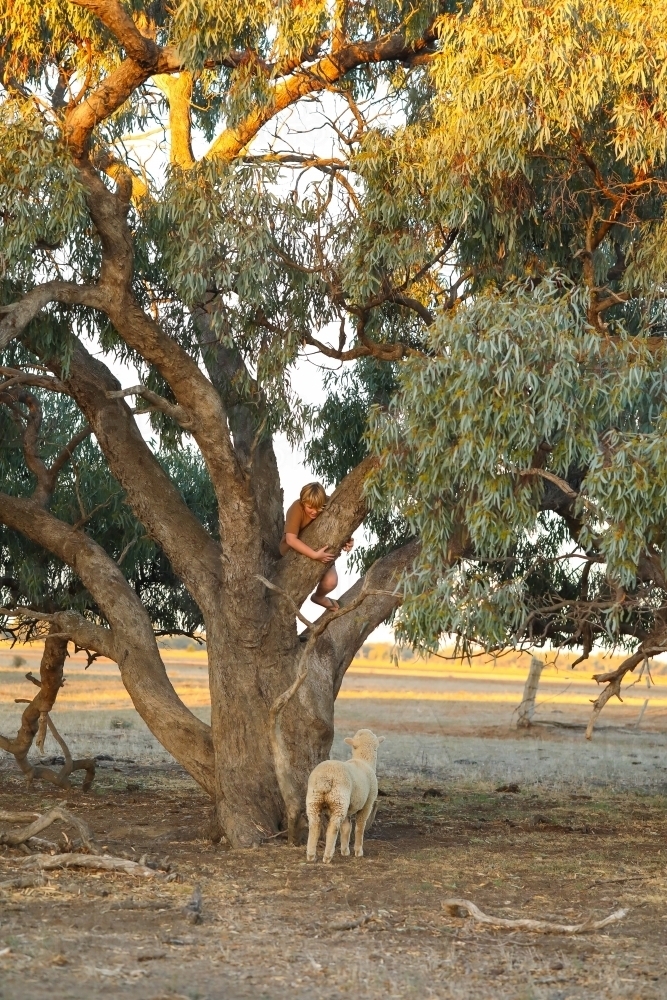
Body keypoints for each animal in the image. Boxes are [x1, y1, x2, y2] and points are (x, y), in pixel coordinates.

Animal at [304, 732, 384, 864]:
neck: (363, 761)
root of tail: (325, 778)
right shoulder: (368, 803)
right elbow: (359, 826)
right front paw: (358, 851)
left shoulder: (349, 807)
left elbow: (346, 828)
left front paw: (345, 851)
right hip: (339, 800)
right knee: (333, 827)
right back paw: (327, 856)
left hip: (314, 799)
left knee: (314, 824)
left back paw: (311, 855)